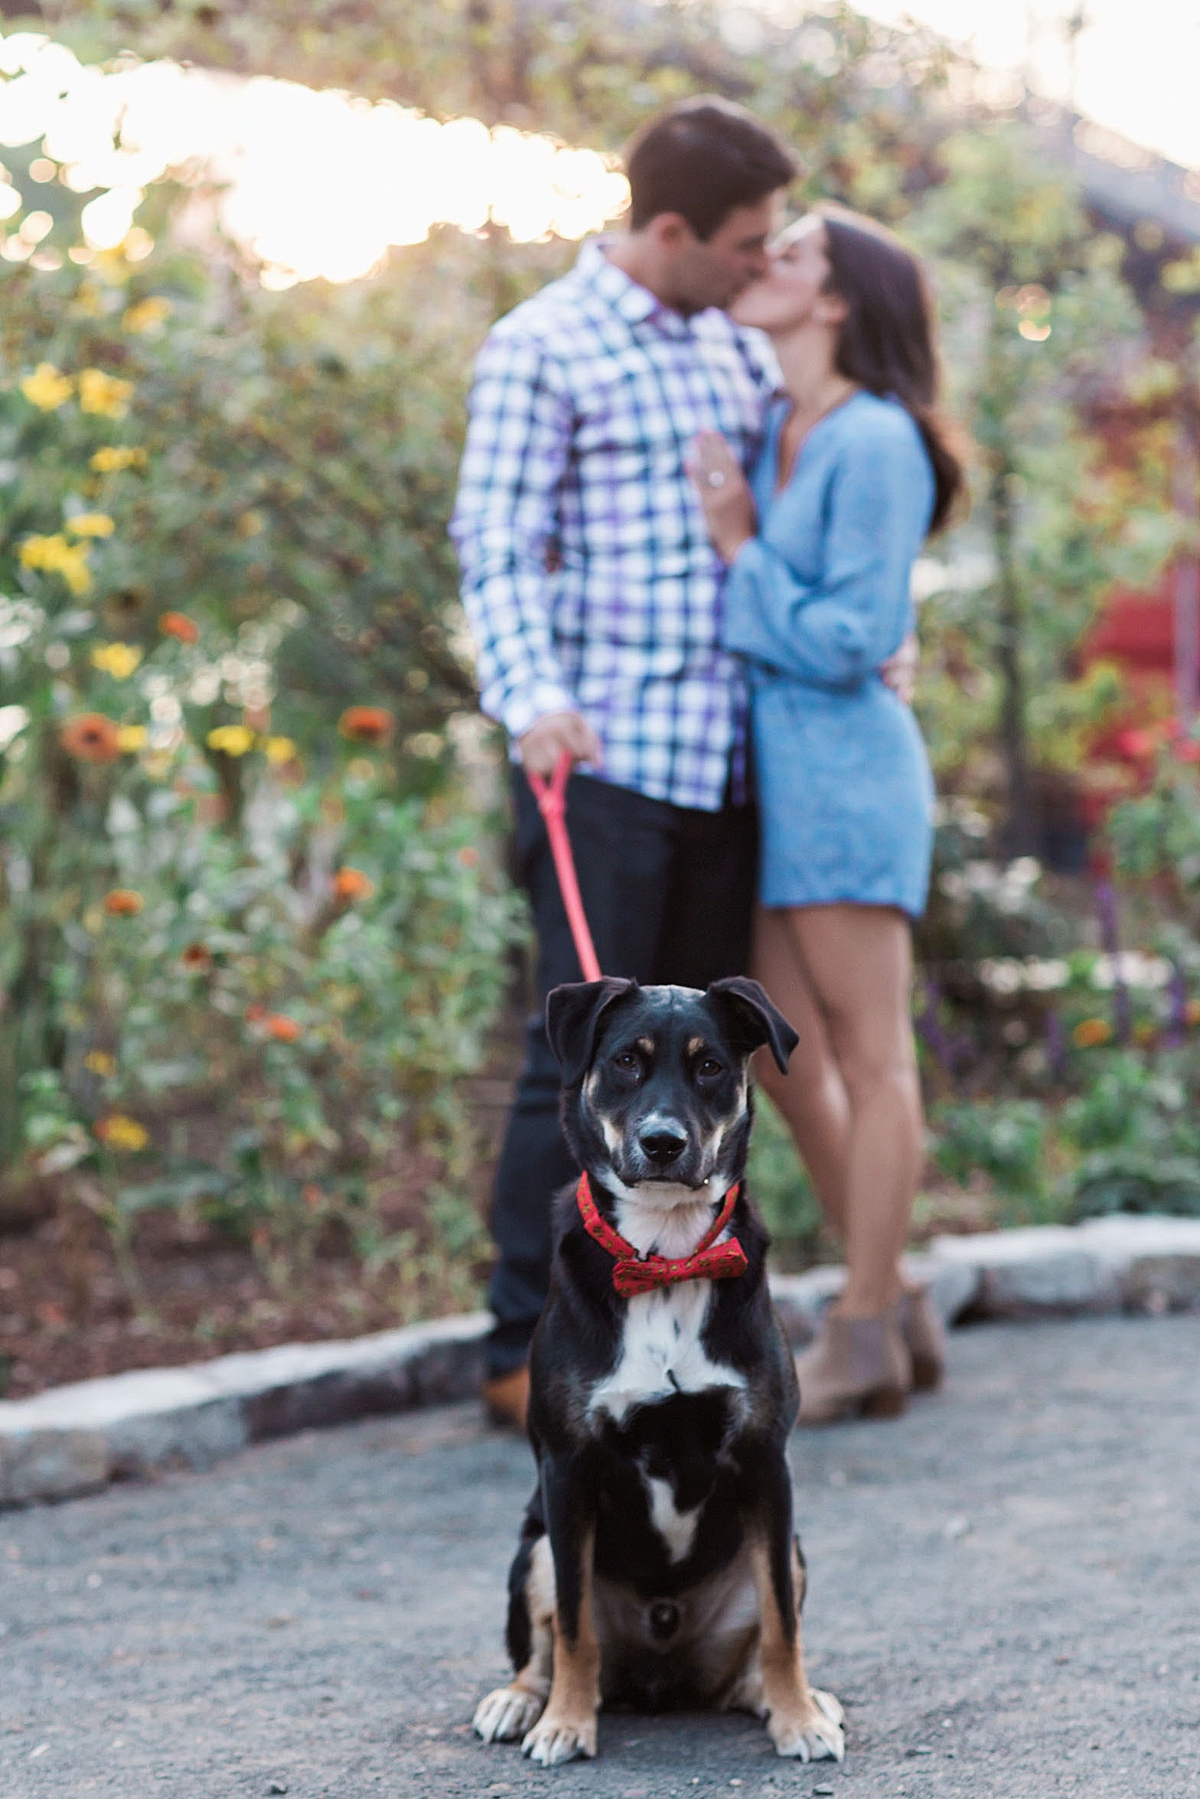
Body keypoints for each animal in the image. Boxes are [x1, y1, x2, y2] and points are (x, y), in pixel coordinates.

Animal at [474, 978, 845, 1763]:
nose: (663, 1142)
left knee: (757, 1646)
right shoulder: (568, 1468)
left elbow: (783, 1624)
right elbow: (574, 1625)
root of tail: (661, 1670)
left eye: (709, 1066)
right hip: (534, 1547)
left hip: (787, 1546)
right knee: (542, 1644)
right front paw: (565, 1723)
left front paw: (798, 1717)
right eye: (624, 1061)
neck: (668, 1256)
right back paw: (522, 1701)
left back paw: (786, 1698)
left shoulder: (766, 1461)